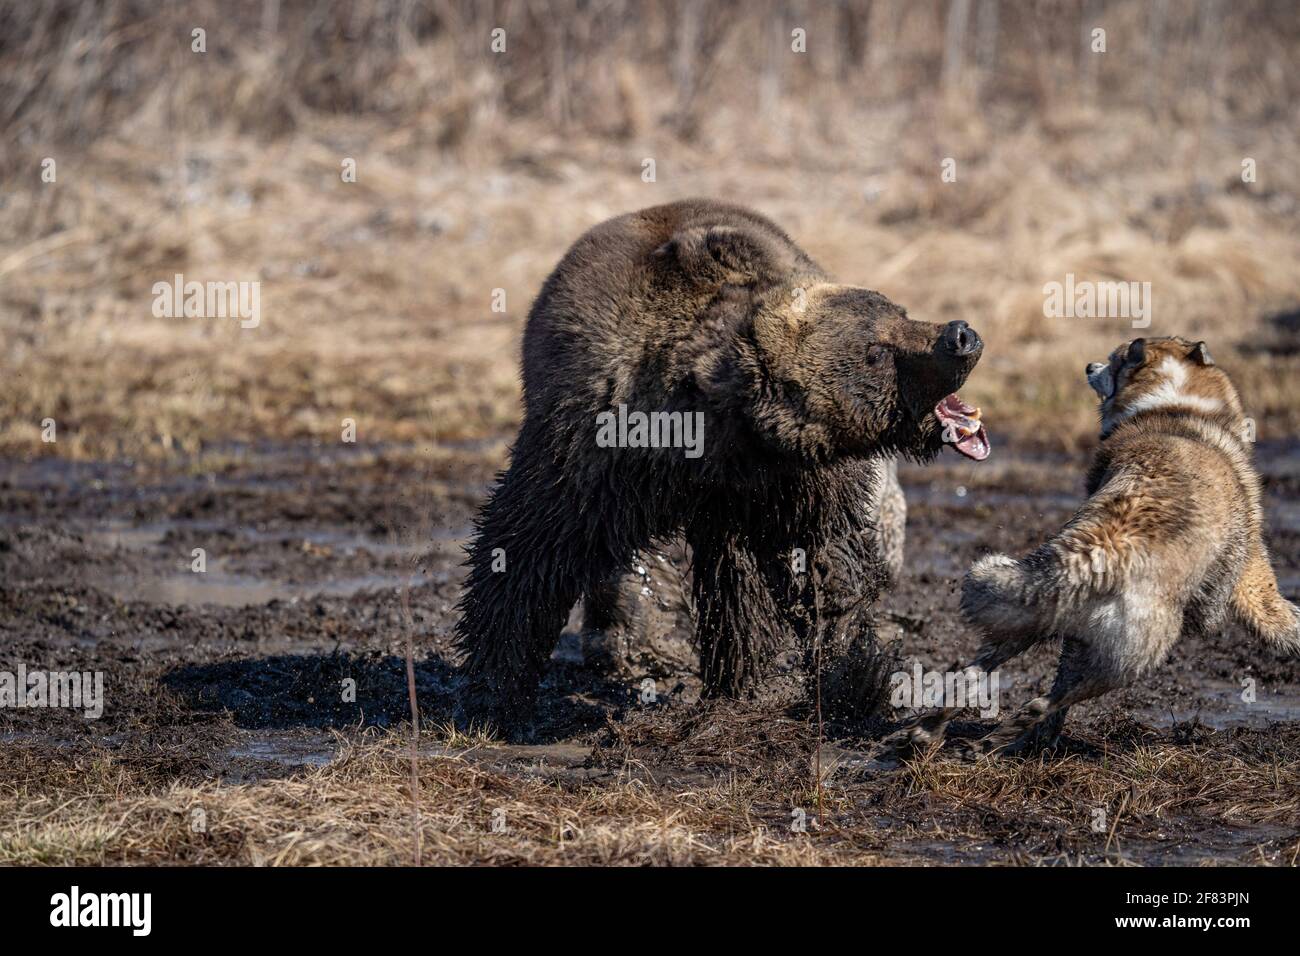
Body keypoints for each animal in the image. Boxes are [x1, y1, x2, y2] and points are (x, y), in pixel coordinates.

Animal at [453, 199, 988, 727]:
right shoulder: (598, 448)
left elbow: (826, 565)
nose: (959, 335)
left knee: (734, 580)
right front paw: (495, 689)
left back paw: (735, 680)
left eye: (898, 311)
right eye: (877, 351)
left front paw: (853, 675)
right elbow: (532, 546)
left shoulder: (800, 479)